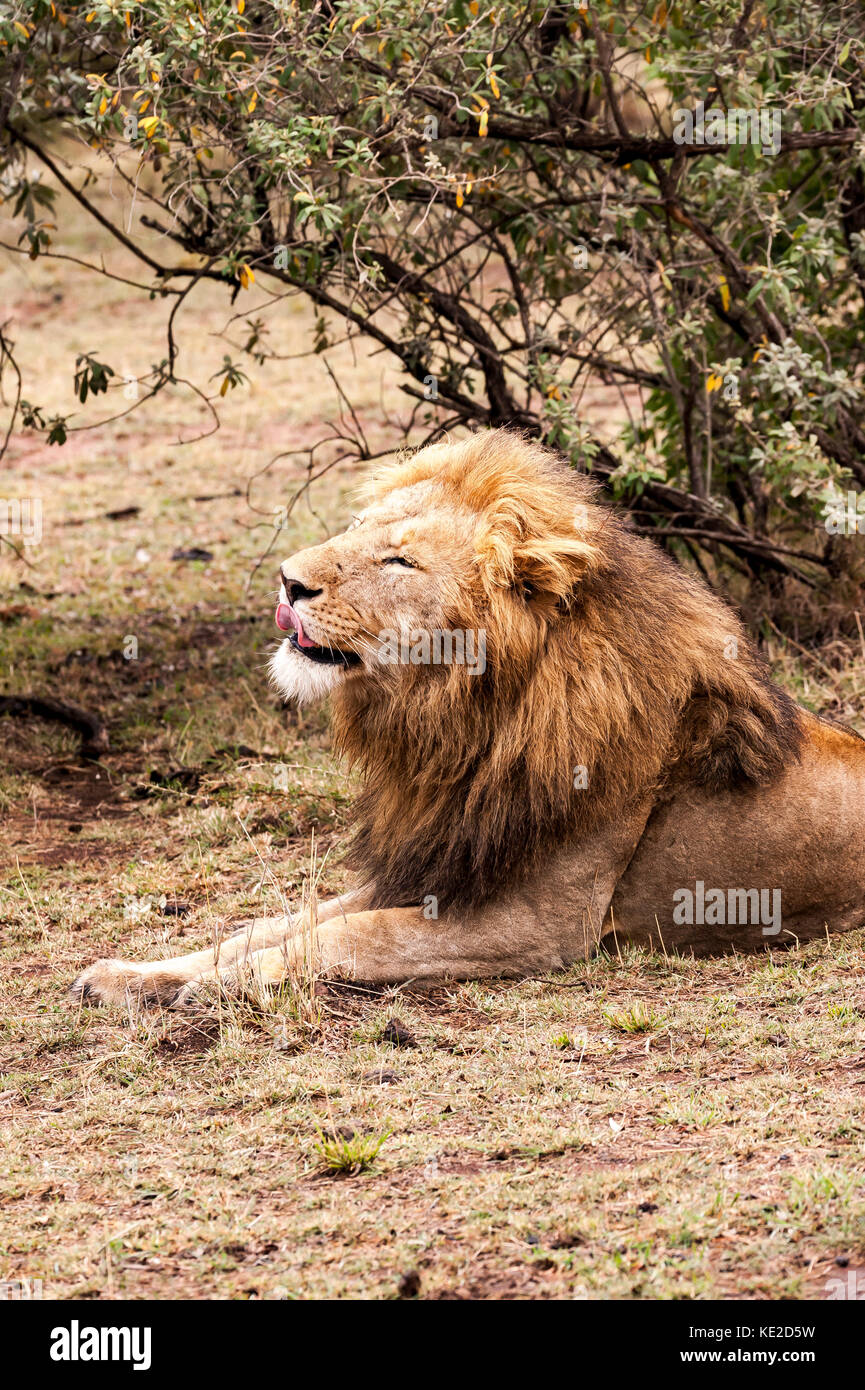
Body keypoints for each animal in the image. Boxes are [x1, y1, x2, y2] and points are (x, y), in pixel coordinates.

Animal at [73, 428, 865, 1006]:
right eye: (358, 529)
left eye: (399, 562)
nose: (288, 582)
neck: (459, 723)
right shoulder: (438, 858)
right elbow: (272, 923)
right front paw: (133, 976)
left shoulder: (536, 926)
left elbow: (345, 939)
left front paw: (209, 987)